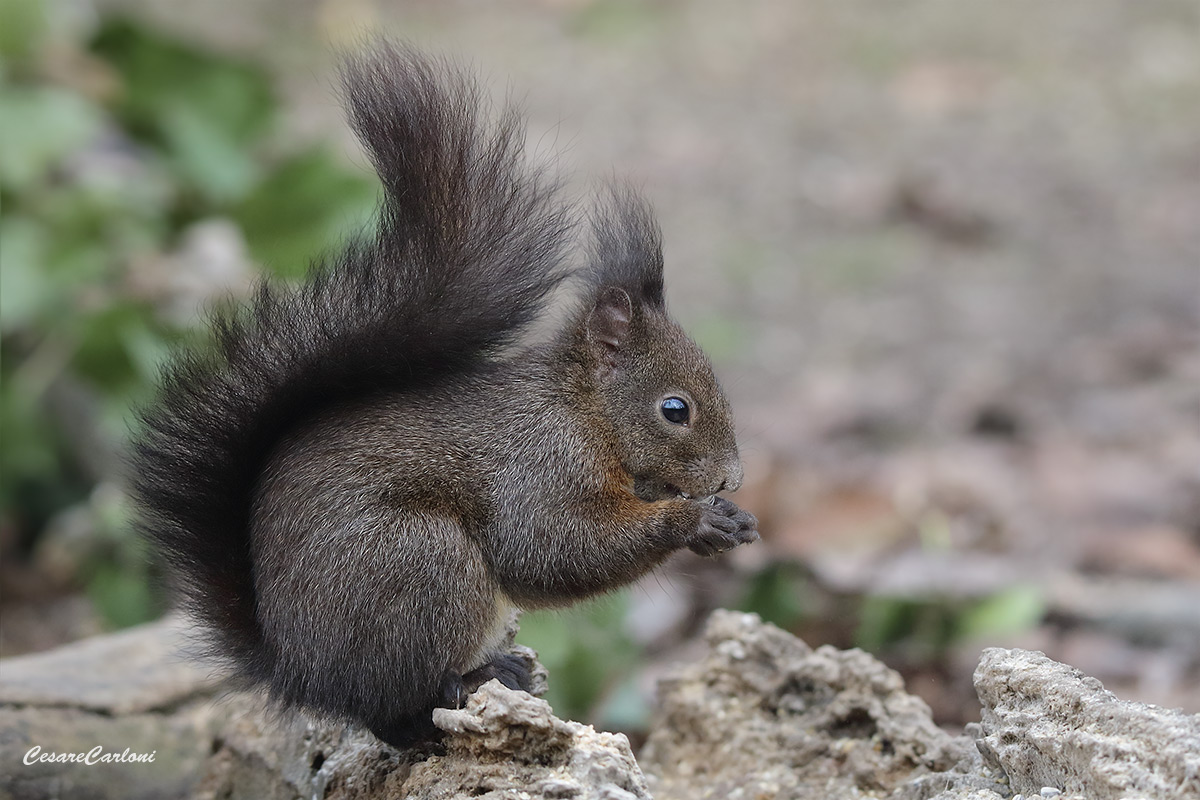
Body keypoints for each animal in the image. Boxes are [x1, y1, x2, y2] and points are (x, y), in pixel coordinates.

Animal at [132, 43, 758, 748]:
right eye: (675, 409)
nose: (732, 478)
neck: (584, 412)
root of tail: (297, 672)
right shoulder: (539, 465)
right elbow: (550, 549)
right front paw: (694, 520)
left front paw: (728, 519)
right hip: (424, 565)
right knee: (399, 706)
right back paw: (470, 682)